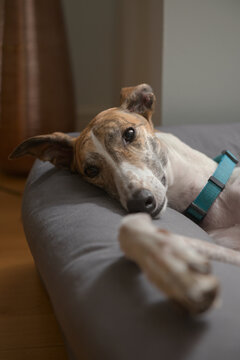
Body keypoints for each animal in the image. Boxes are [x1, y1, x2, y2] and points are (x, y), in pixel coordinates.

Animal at [10, 84, 240, 312]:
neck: (210, 195)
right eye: (91, 170)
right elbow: (129, 228)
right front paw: (176, 273)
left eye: (129, 133)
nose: (140, 202)